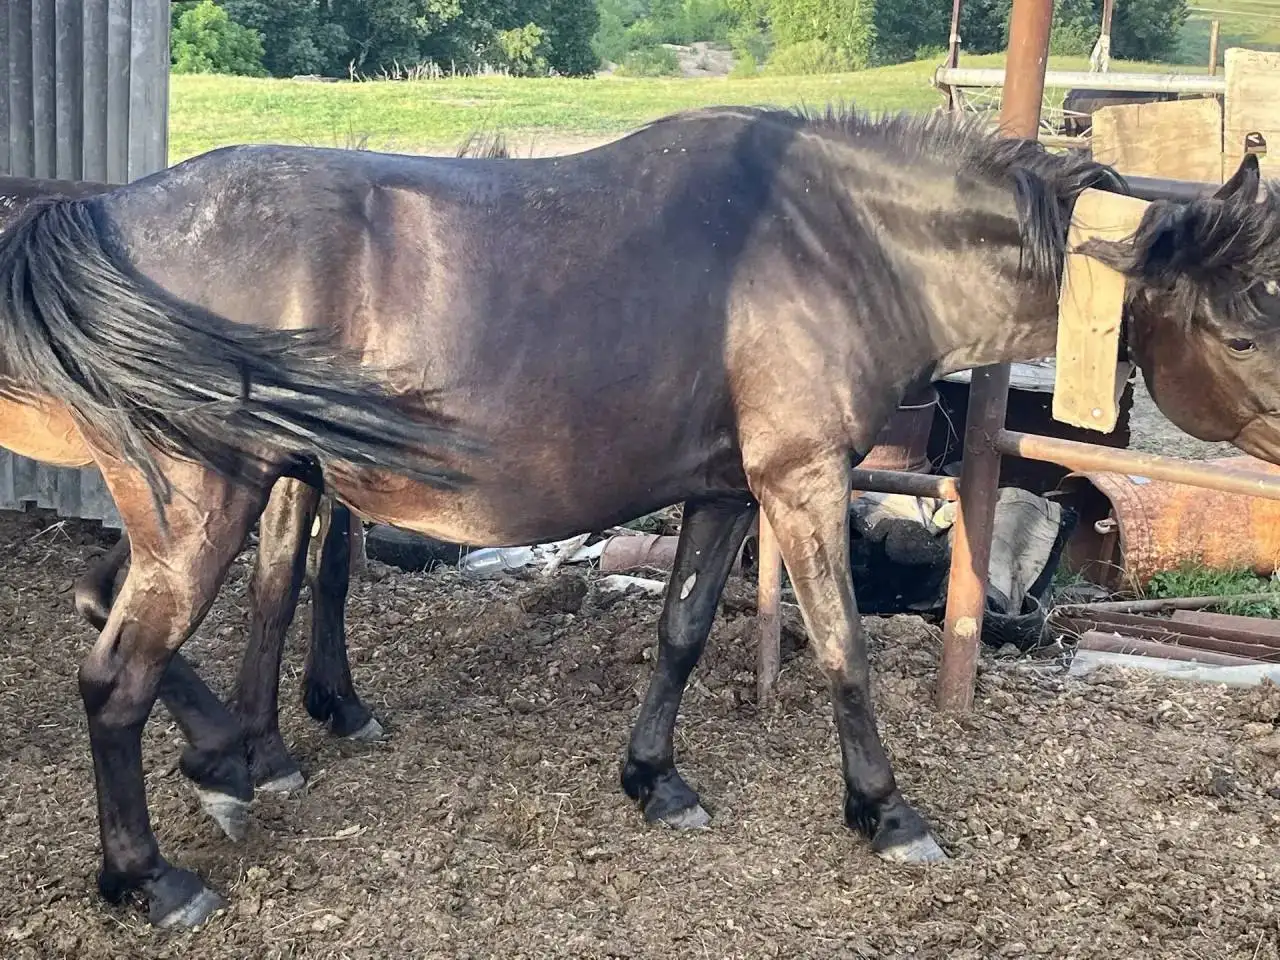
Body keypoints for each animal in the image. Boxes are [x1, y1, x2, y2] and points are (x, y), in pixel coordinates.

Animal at [10, 104, 1280, 929]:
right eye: (1237, 329)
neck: (835, 239)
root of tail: (106, 217)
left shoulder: (721, 493)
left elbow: (677, 633)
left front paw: (653, 778)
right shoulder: (802, 483)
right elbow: (842, 650)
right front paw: (882, 809)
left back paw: (236, 758)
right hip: (203, 508)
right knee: (112, 678)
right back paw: (153, 874)